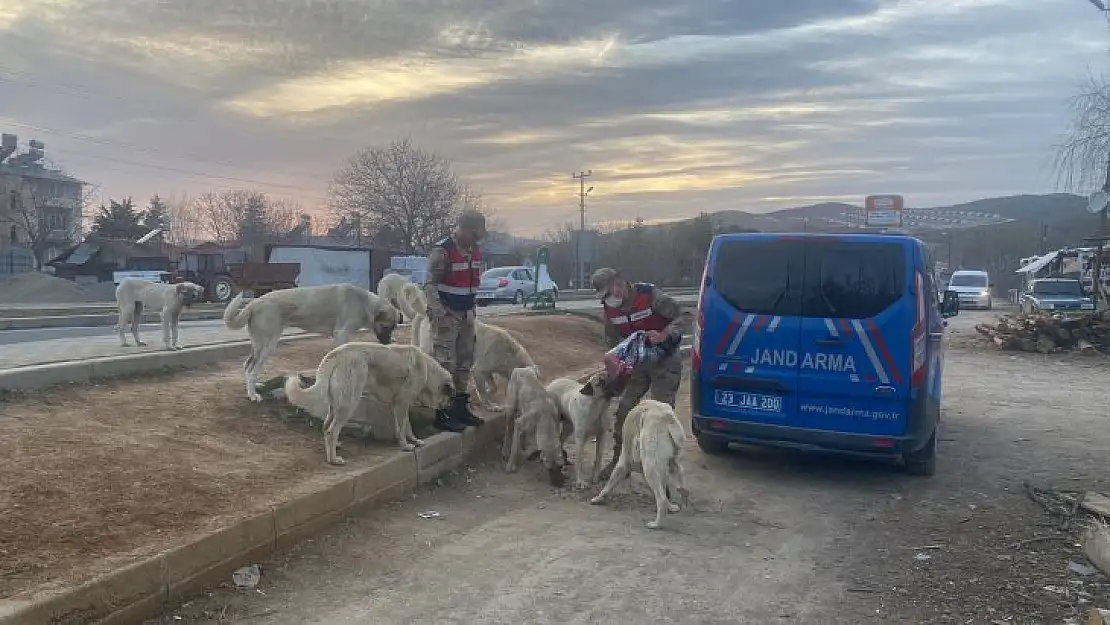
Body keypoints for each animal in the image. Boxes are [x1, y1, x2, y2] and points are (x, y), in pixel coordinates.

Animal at [220, 286, 399, 404]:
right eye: (387, 326)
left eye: (394, 326)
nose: (388, 343)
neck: (364, 303)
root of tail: (255, 302)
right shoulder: (341, 335)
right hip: (267, 346)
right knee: (252, 368)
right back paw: (252, 395)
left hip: (259, 345)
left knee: (248, 365)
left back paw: (254, 386)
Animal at [284, 341, 452, 464]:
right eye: (450, 397)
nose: (447, 409)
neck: (427, 370)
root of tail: (338, 353)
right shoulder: (401, 404)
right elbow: (402, 429)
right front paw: (405, 446)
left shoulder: (400, 406)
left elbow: (407, 427)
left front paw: (415, 441)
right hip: (349, 403)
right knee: (332, 430)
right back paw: (333, 459)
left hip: (335, 406)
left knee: (326, 427)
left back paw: (334, 447)